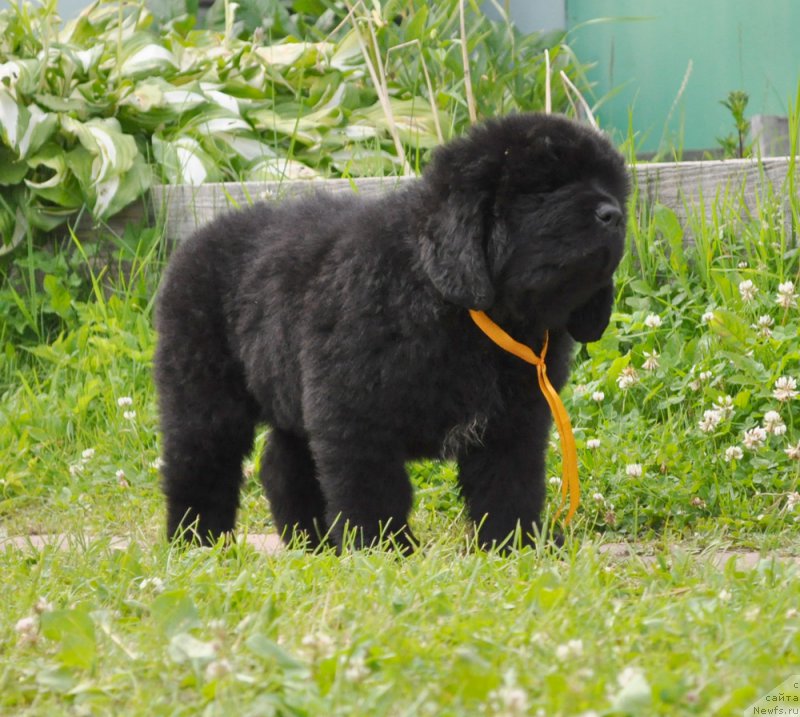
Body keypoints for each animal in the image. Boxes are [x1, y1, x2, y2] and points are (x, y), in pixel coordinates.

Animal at [155, 113, 632, 548]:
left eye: (611, 189)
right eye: (546, 188)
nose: (614, 215)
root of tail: (196, 239)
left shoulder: (514, 423)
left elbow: (509, 487)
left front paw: (512, 545)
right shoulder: (354, 417)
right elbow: (374, 492)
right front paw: (384, 550)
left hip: (288, 390)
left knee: (281, 464)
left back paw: (313, 541)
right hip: (203, 394)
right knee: (199, 462)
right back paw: (197, 540)